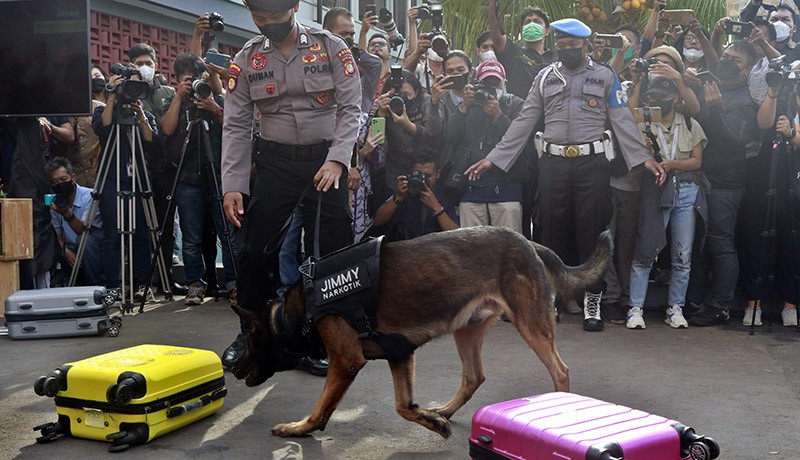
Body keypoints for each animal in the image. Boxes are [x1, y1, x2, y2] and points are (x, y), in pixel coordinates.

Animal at [231, 226, 612, 438]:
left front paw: (299, 429)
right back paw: (444, 411)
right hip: (467, 330)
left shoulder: (346, 361)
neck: (297, 309)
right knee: (474, 376)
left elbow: (321, 407)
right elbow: (403, 406)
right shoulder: (399, 354)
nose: (231, 366)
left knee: (560, 371)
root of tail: (527, 241)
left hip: (530, 324)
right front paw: (430, 420)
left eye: (247, 338)